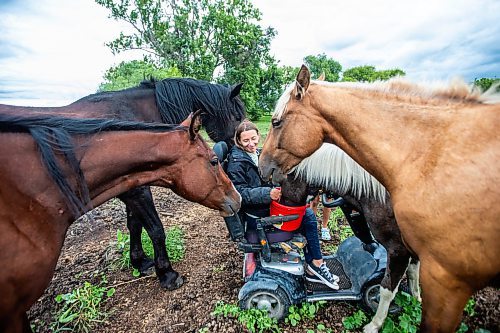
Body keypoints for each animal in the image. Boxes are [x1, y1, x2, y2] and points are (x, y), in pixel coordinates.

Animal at [0, 77, 246, 288]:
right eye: (236, 117)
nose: (238, 148)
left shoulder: (130, 186)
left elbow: (134, 224)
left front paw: (140, 261)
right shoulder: (137, 189)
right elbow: (155, 228)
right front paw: (166, 273)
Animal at [0, 111, 240, 332]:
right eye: (214, 160)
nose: (238, 198)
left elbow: (136, 225)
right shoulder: (12, 313)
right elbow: (155, 229)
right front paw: (168, 274)